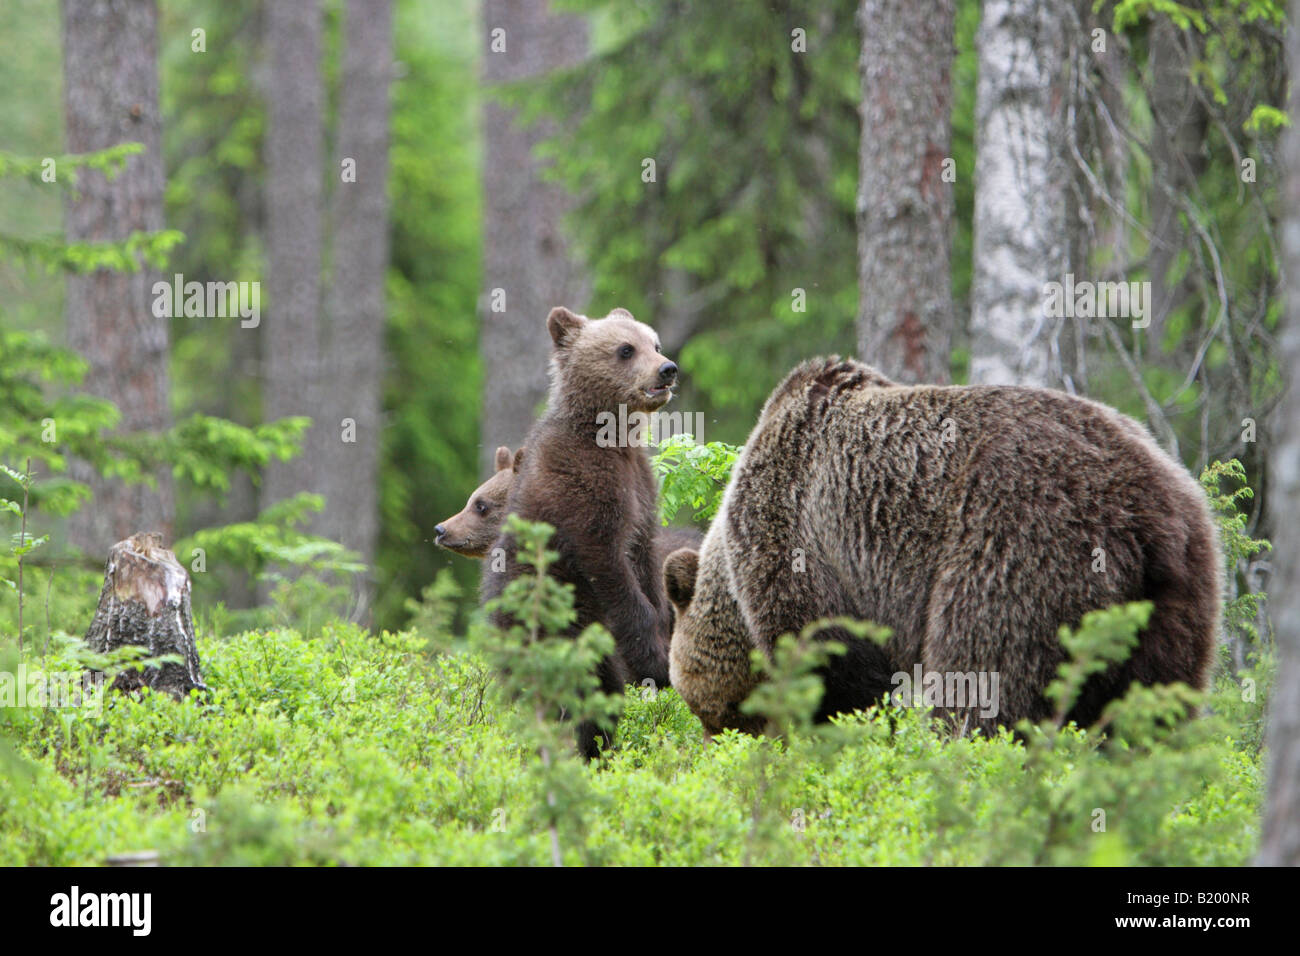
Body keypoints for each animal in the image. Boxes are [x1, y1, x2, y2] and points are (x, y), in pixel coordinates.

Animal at [482, 306, 681, 758]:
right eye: (625, 349)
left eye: (654, 342)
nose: (667, 369)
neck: (608, 436)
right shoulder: (582, 489)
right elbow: (608, 564)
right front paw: (654, 660)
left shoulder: (640, 488)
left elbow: (645, 557)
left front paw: (664, 626)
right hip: (553, 623)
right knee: (574, 692)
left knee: (600, 693)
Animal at [663, 356, 1222, 739]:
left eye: (698, 702)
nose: (716, 743)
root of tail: (1150, 509)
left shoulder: (798, 535)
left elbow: (836, 667)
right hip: (1181, 595)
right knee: (1153, 704)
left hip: (1022, 545)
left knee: (984, 679)